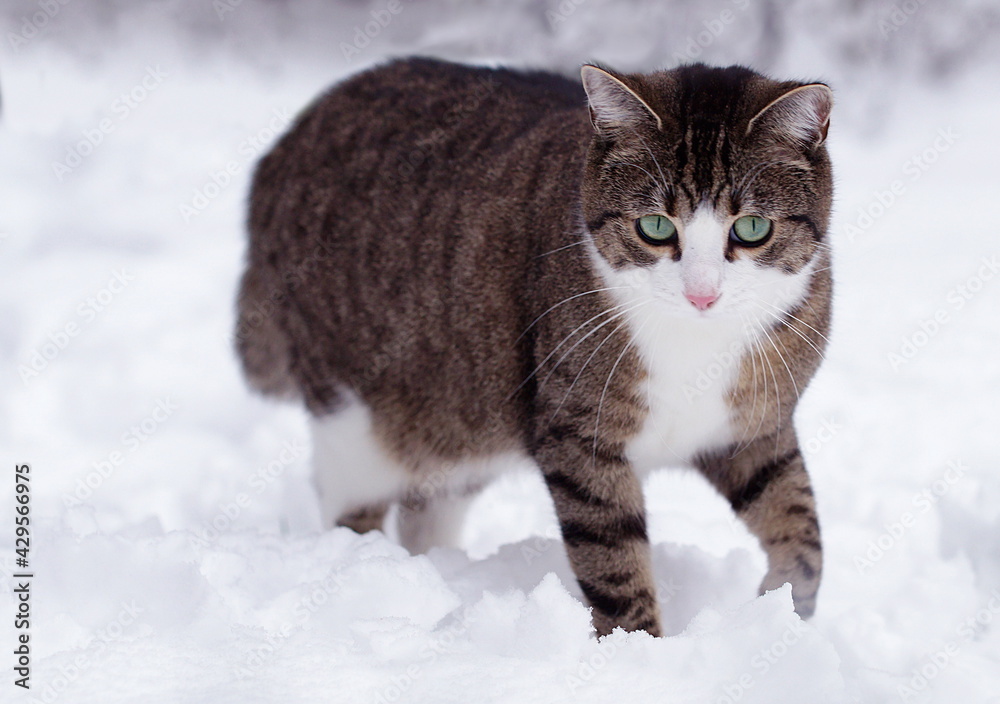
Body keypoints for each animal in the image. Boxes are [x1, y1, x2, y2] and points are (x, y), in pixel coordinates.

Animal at [232, 56, 828, 640]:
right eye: (656, 227)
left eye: (752, 228)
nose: (702, 293)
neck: (695, 341)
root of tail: (282, 149)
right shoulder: (577, 435)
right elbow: (612, 559)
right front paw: (640, 650)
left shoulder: (754, 426)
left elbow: (799, 523)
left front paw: (785, 605)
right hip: (351, 417)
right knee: (355, 506)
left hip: (459, 418)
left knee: (429, 504)